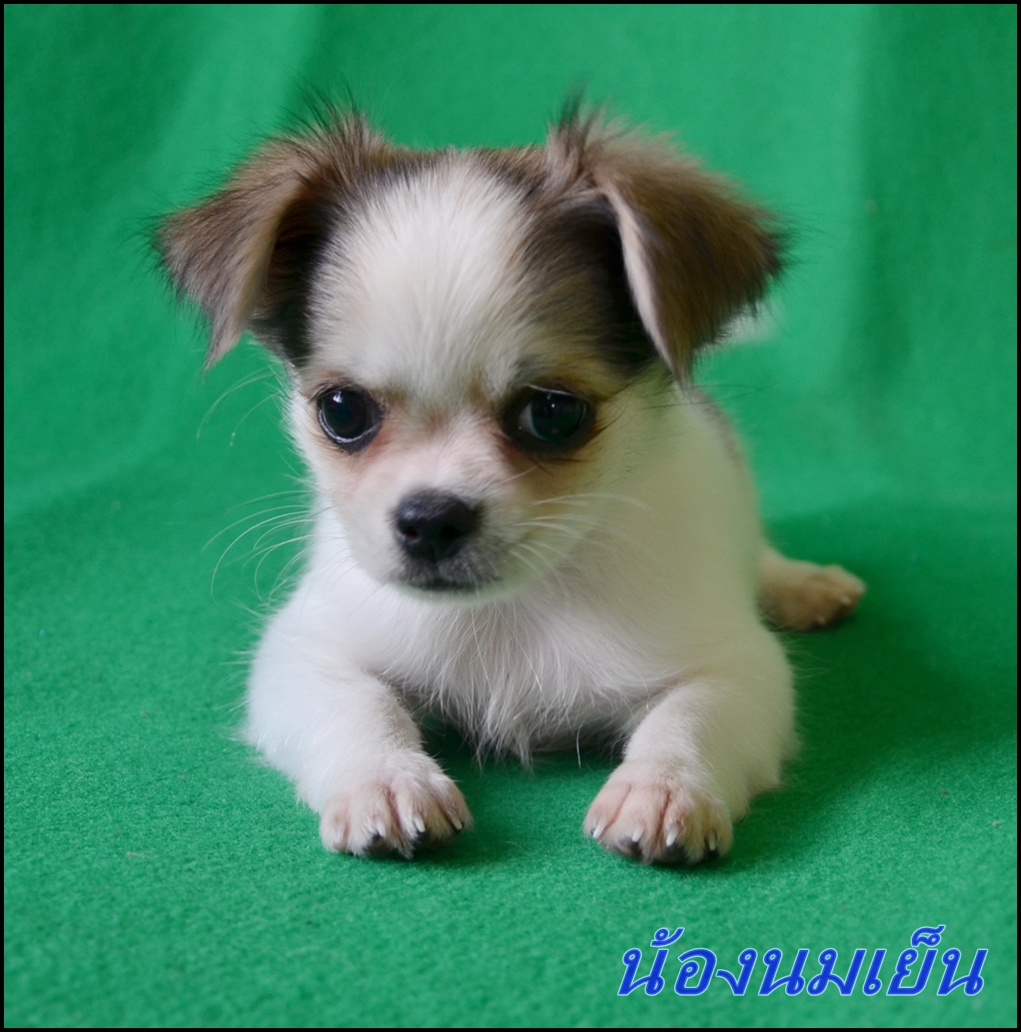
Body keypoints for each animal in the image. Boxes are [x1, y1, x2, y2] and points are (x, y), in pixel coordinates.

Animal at [159, 107, 865, 864]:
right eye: (342, 411)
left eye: (553, 414)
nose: (430, 519)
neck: (509, 614)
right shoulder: (304, 651)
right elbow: (357, 706)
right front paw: (386, 779)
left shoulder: (737, 667)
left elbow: (689, 718)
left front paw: (664, 787)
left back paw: (802, 584)